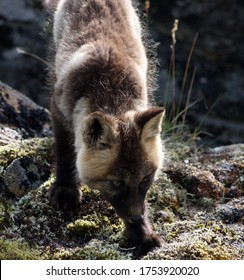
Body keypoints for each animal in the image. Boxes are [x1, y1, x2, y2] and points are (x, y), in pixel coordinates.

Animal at [44, 0, 165, 256]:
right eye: (115, 183)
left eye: (145, 179)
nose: (136, 218)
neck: (108, 88)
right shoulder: (58, 109)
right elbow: (66, 154)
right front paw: (65, 187)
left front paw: (143, 235)